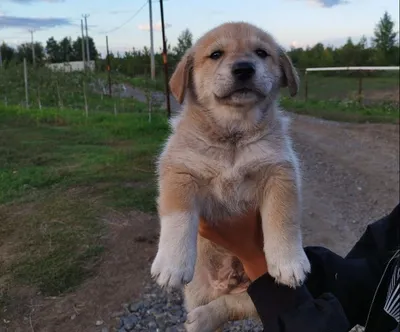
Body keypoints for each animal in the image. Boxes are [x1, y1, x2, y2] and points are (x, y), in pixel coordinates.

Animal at [152, 22, 310, 330]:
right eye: (216, 54)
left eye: (261, 53)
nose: (244, 68)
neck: (233, 138)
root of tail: (227, 281)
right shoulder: (180, 171)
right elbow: (178, 218)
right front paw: (171, 264)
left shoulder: (281, 172)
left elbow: (283, 219)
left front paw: (289, 262)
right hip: (196, 288)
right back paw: (198, 320)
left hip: (254, 289)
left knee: (233, 304)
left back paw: (203, 319)